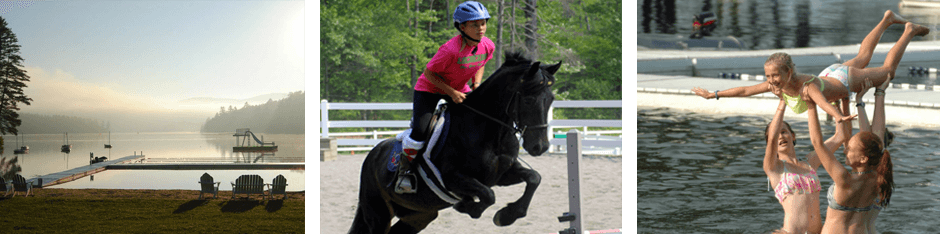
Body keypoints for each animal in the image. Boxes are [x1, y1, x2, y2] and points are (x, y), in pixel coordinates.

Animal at [350, 52, 560, 233]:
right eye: (529, 100)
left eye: (551, 99)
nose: (540, 147)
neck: (491, 133)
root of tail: (372, 154)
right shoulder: (452, 178)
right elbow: (488, 196)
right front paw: (467, 206)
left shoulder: (501, 175)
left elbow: (534, 178)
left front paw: (507, 216)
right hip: (378, 213)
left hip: (419, 215)